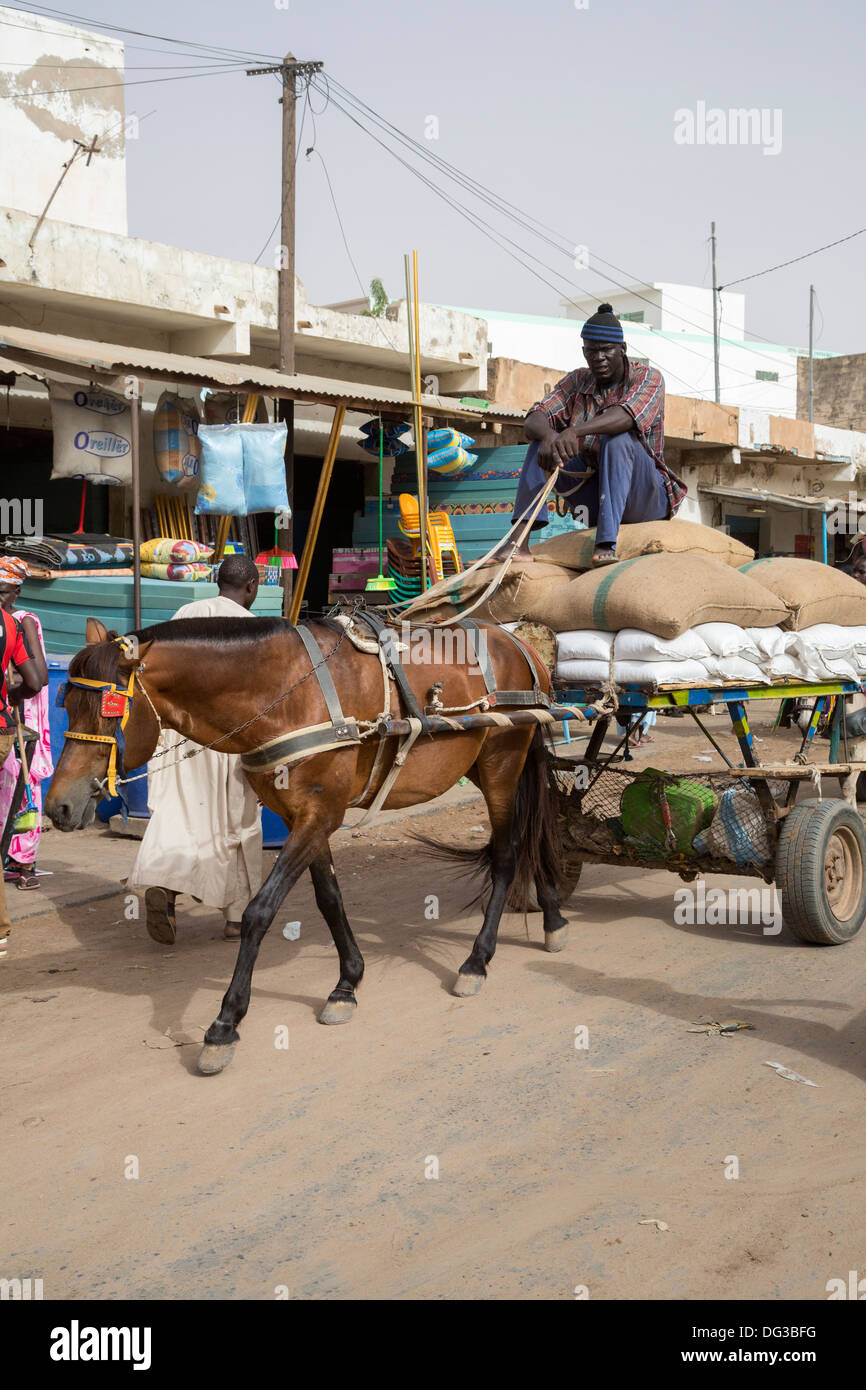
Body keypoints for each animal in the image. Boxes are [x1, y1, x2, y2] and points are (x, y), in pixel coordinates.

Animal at [45, 611, 569, 1073]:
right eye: (65, 705)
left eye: (110, 712)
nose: (57, 806)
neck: (285, 692)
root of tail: (519, 643)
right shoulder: (303, 816)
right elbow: (329, 897)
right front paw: (347, 983)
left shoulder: (319, 815)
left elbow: (260, 912)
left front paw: (225, 1025)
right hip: (481, 765)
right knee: (530, 838)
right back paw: (554, 918)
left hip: (502, 762)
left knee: (508, 853)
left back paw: (477, 961)